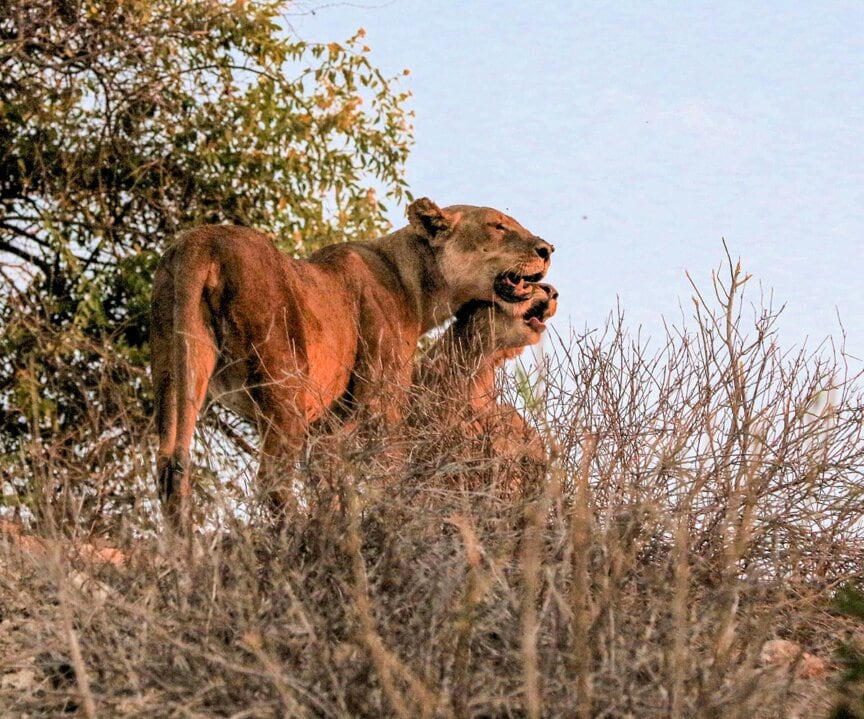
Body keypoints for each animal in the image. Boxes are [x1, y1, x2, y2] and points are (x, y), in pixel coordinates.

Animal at [150, 198, 553, 530]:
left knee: (172, 465)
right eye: (498, 226)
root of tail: (201, 242)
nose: (547, 249)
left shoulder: (327, 427)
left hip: (175, 367)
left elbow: (330, 486)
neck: (414, 282)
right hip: (285, 380)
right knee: (272, 479)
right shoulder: (380, 403)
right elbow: (389, 473)